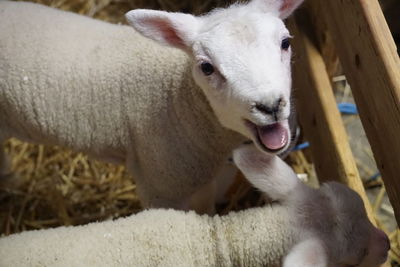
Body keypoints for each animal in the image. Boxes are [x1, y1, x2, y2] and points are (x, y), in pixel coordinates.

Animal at [0, 0, 300, 213]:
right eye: (206, 67)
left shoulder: (200, 180)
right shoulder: (160, 187)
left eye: (285, 43)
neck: (177, 97)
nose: (270, 105)